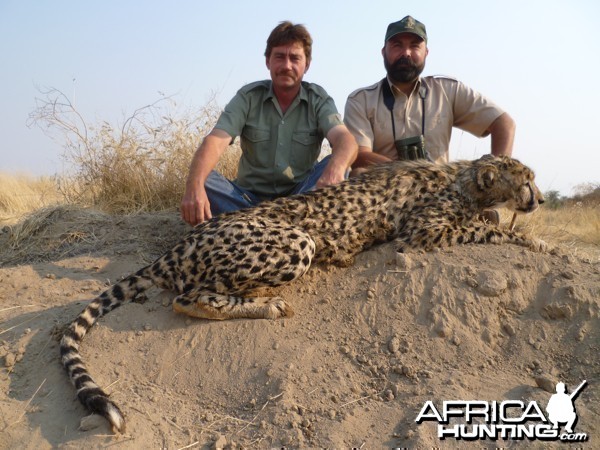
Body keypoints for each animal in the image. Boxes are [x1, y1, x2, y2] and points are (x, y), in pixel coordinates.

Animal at [61, 154, 548, 432]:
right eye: (526, 179)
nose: (540, 200)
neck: (463, 180)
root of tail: (177, 246)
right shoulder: (422, 232)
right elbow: (488, 231)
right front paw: (538, 242)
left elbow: (487, 225)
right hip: (298, 243)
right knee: (186, 297)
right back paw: (267, 304)